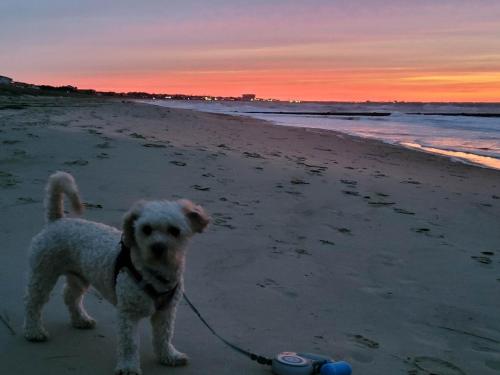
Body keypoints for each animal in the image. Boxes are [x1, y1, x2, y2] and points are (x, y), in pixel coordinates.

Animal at [23, 172, 210, 374]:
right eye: (146, 229)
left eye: (175, 231)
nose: (158, 248)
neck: (153, 273)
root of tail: (57, 220)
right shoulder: (128, 313)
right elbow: (129, 344)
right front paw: (128, 367)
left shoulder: (165, 312)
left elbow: (164, 336)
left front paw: (168, 356)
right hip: (43, 273)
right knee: (33, 302)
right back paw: (34, 331)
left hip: (79, 276)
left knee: (70, 296)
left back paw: (81, 319)